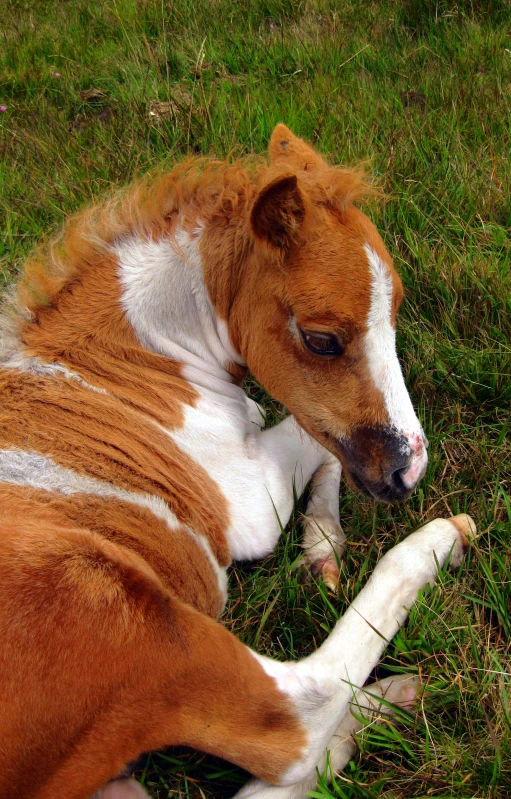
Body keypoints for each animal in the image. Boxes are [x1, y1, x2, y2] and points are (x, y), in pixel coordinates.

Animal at [0, 125, 472, 799]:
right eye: (322, 339)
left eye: (395, 313)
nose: (406, 473)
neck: (132, 368)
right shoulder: (249, 501)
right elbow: (308, 432)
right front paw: (326, 543)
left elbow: (317, 434)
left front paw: (321, 549)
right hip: (134, 621)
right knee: (301, 720)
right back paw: (443, 544)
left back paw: (397, 699)